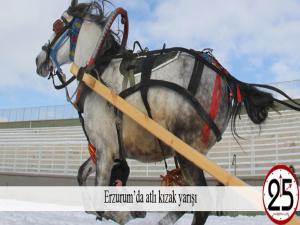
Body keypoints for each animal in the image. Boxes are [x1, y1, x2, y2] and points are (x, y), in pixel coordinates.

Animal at [35, 0, 300, 224]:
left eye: (56, 24)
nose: (39, 59)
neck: (97, 70)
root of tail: (223, 78)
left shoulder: (104, 148)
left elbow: (103, 199)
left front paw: (121, 214)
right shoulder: (104, 149)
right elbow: (81, 174)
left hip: (186, 150)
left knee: (201, 203)